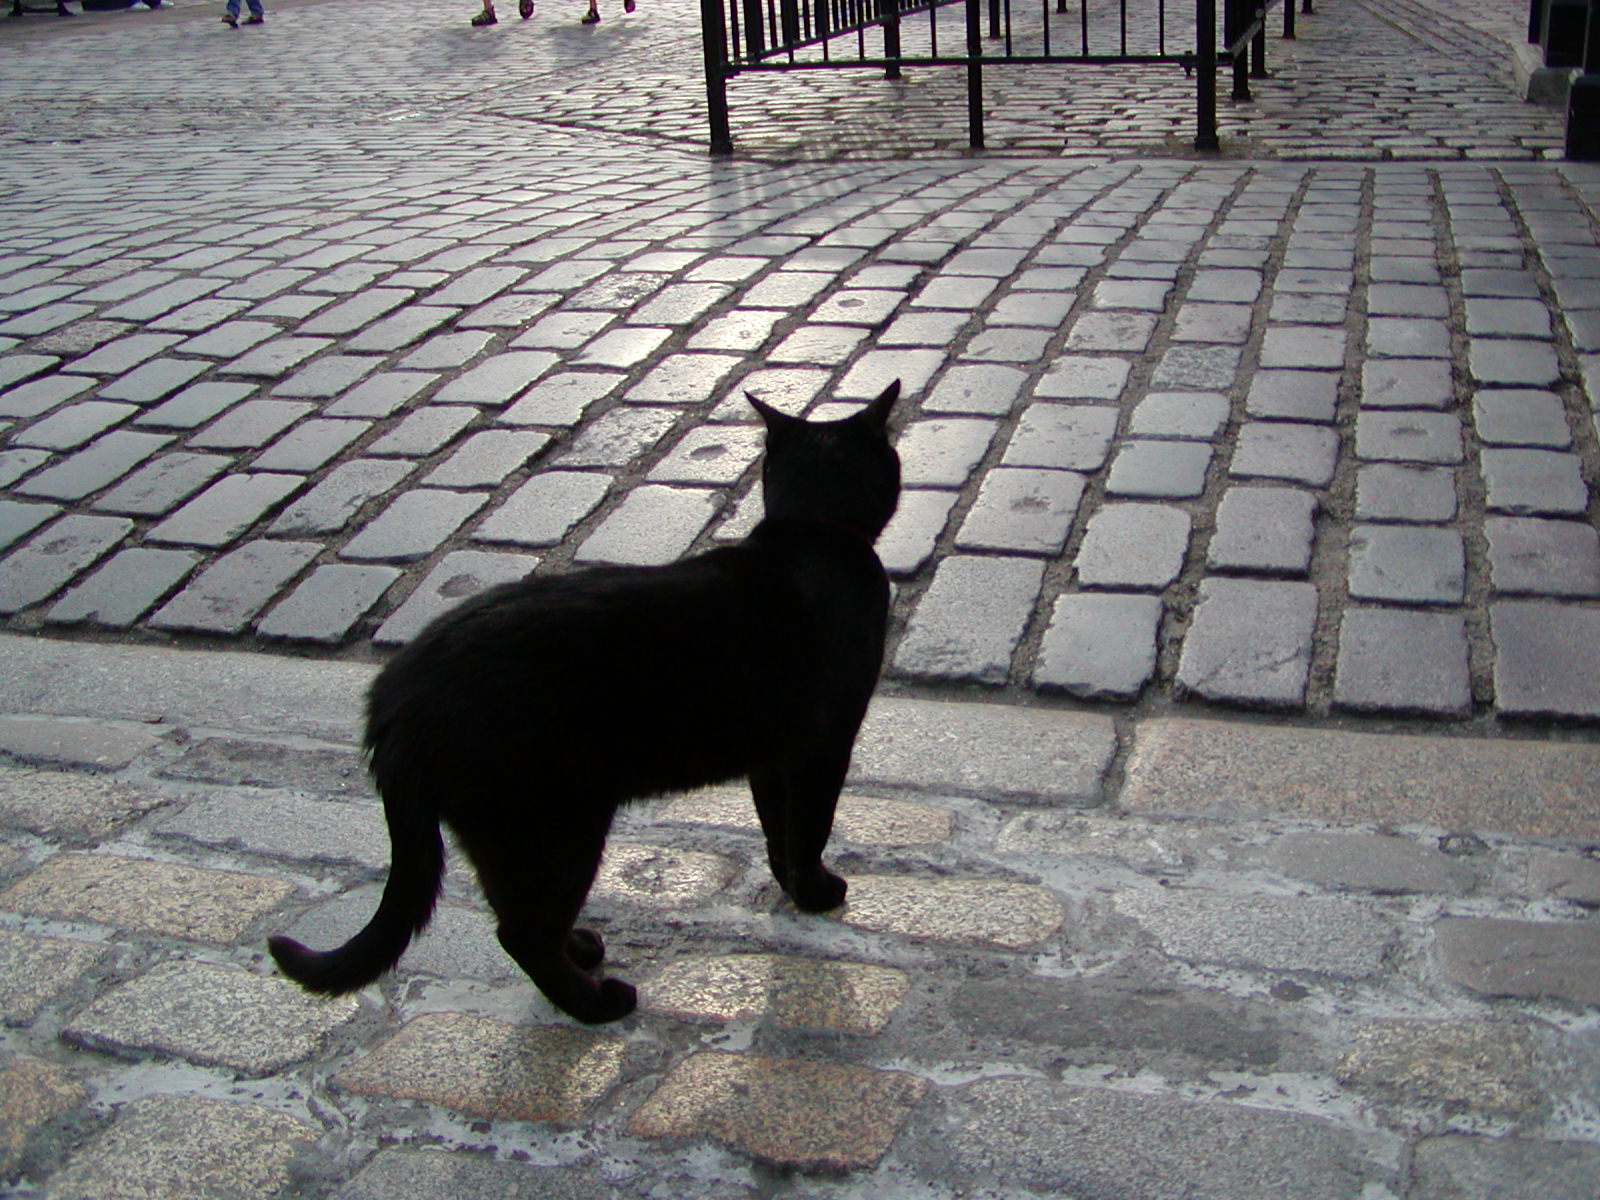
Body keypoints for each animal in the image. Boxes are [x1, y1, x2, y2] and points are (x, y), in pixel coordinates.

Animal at [270, 381, 901, 1024]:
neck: (815, 532)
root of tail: (392, 701)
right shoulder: (824, 745)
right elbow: (811, 827)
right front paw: (816, 892)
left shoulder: (771, 756)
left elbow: (777, 828)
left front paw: (788, 885)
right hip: (558, 826)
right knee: (519, 933)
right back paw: (596, 1002)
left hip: (509, 836)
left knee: (515, 914)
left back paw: (578, 949)